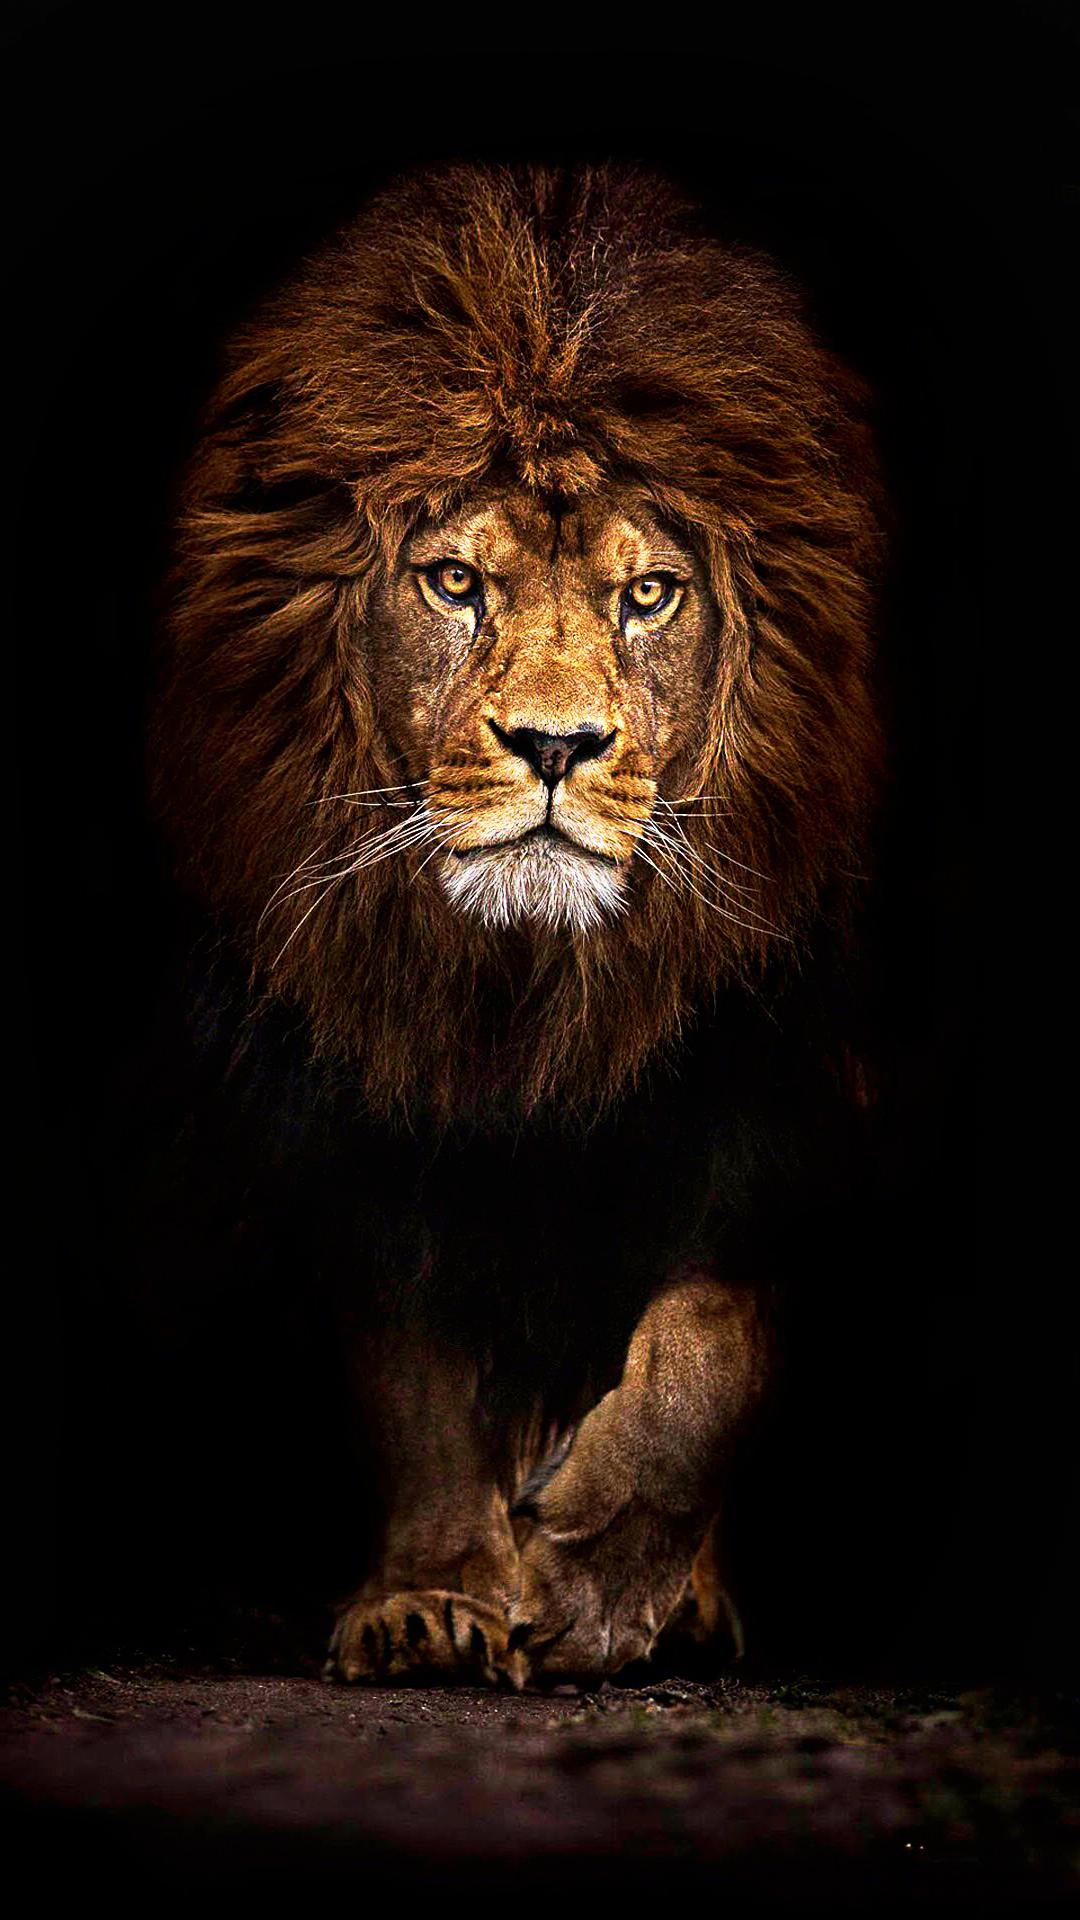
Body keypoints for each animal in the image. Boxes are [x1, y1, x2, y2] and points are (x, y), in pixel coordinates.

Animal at [154, 164, 883, 1686]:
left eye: (648, 593)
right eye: (454, 582)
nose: (555, 745)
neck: (526, 988)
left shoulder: (788, 1077)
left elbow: (711, 1340)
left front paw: (600, 1583)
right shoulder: (359, 1090)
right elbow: (415, 1370)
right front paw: (437, 1595)